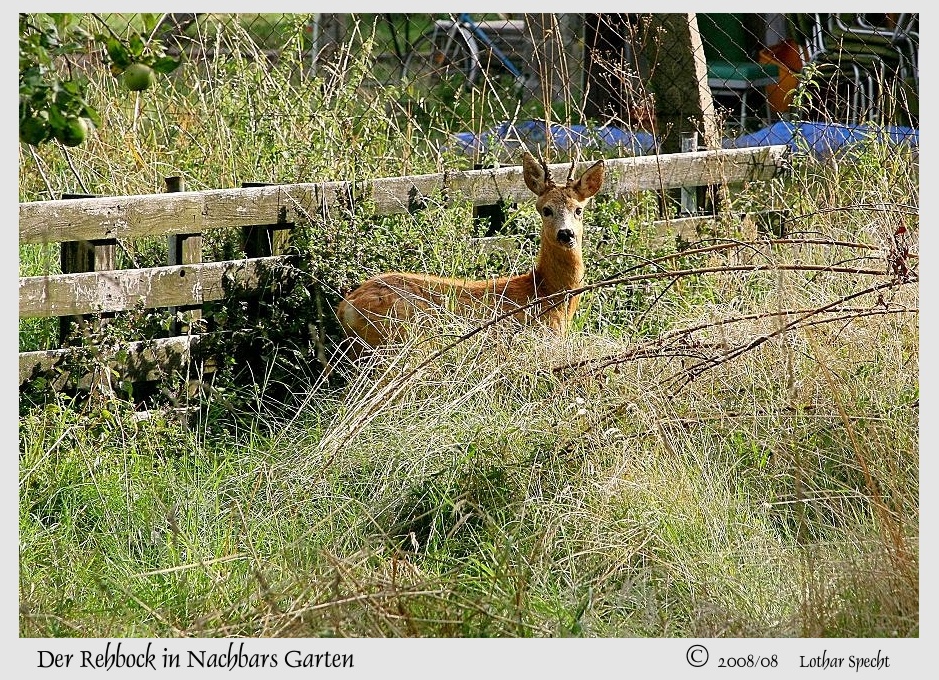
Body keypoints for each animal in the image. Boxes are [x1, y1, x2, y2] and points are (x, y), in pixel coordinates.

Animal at [334, 152, 604, 348]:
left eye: (578, 210)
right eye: (546, 210)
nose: (566, 234)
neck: (547, 292)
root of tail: (346, 306)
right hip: (397, 339)